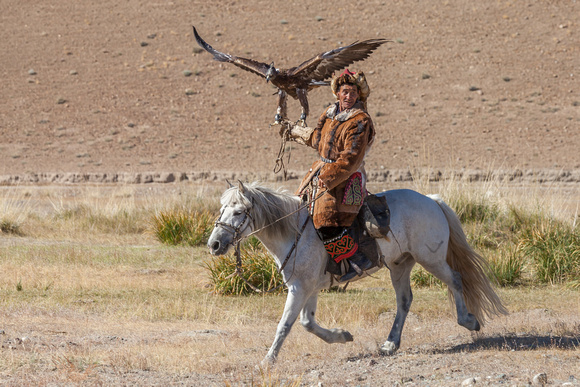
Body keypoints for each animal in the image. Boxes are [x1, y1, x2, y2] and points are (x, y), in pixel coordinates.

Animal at [206, 180, 506, 366]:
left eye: (239, 212)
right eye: (222, 209)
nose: (215, 244)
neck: (295, 232)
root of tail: (432, 200)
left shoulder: (300, 288)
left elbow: (285, 325)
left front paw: (268, 360)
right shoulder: (308, 287)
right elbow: (307, 323)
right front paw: (342, 336)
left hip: (431, 259)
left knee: (455, 279)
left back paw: (469, 321)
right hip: (401, 264)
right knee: (404, 300)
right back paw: (390, 344)